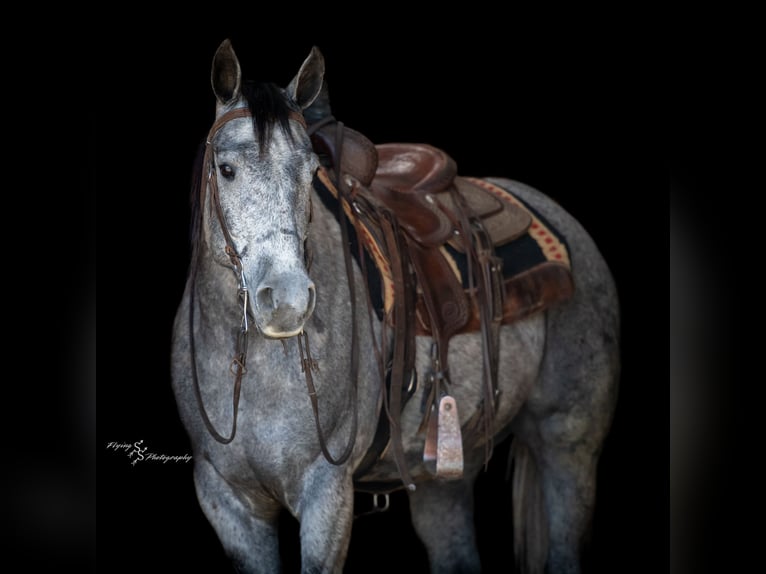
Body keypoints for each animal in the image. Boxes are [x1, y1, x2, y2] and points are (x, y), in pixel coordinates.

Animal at [171, 39, 620, 574]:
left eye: (311, 171)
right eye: (226, 169)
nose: (286, 300)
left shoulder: (326, 493)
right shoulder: (228, 503)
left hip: (568, 446)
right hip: (446, 474)